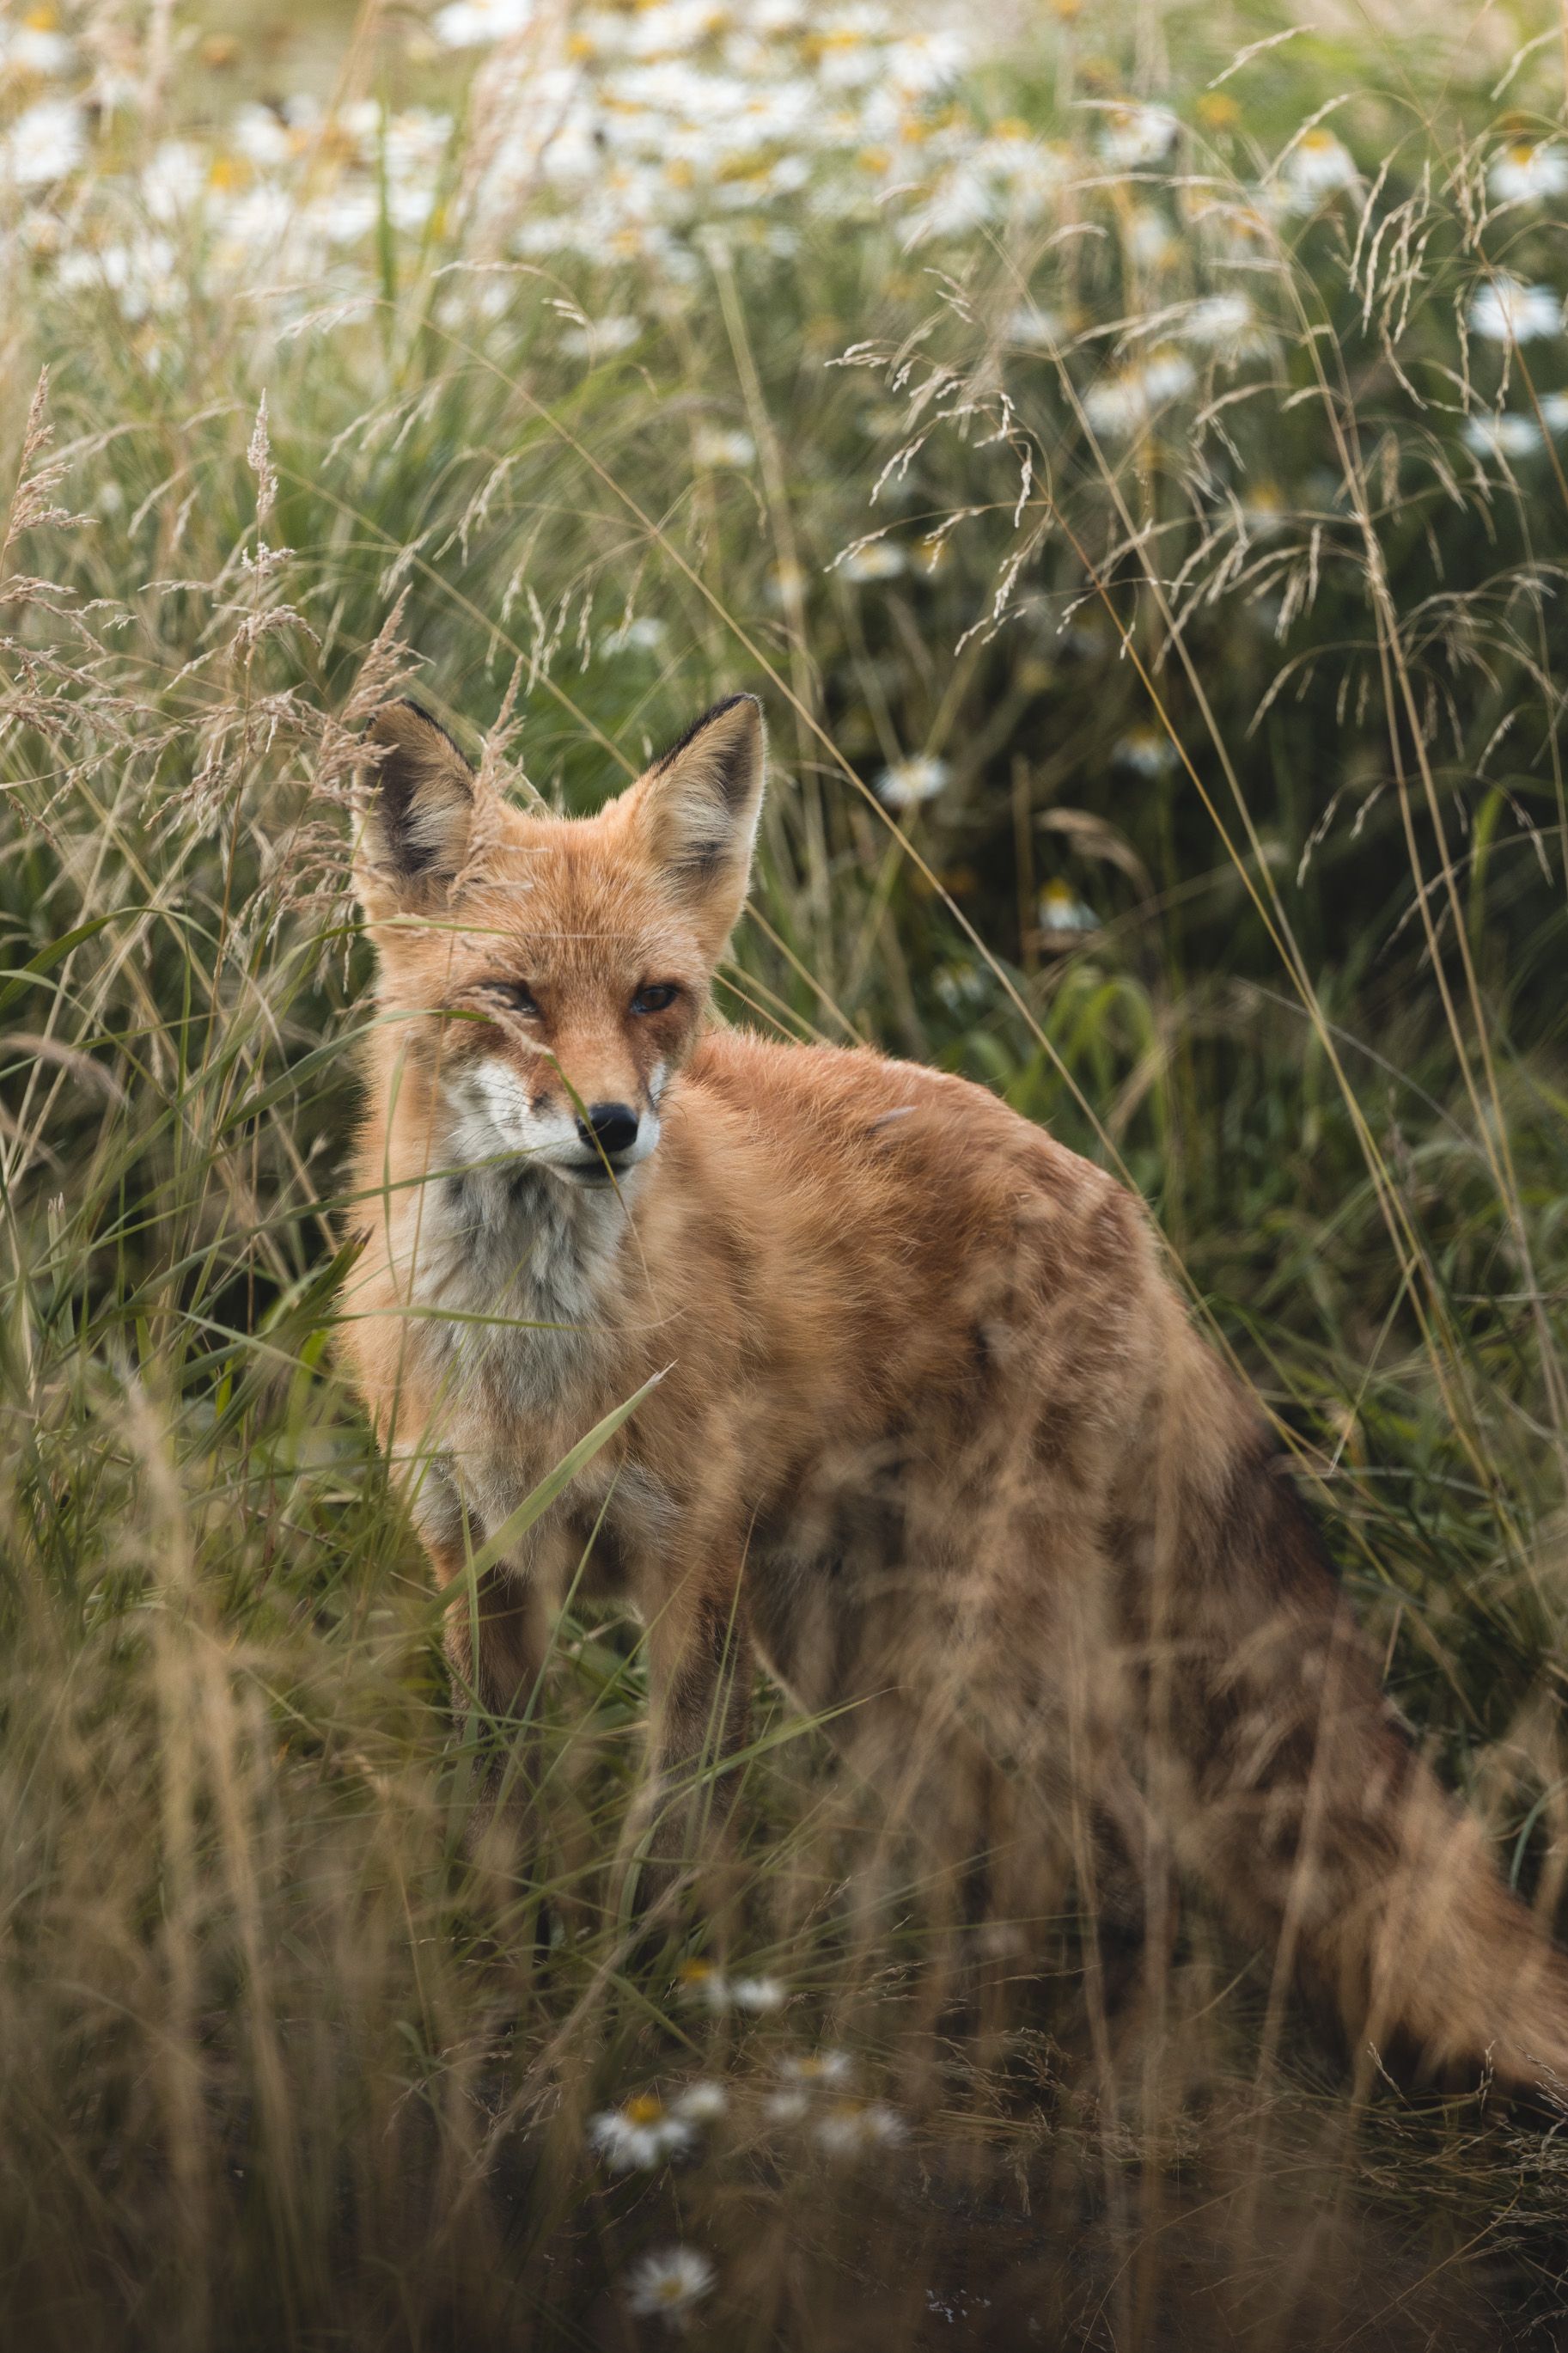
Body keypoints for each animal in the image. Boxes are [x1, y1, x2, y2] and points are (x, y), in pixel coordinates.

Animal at [340, 686, 1568, 2095]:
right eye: (513, 995)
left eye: (655, 997)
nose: (611, 1128)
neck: (533, 1347)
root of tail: (1117, 1203)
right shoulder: (480, 1560)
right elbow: (500, 1829)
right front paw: (506, 2012)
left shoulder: (691, 1571)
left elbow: (666, 1842)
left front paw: (633, 2031)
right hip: (851, 1643)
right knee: (988, 1840)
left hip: (986, 1633)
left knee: (1125, 1846)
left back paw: (1067, 2075)